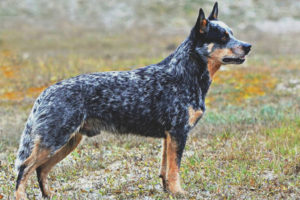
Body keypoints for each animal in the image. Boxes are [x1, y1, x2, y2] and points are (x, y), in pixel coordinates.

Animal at [15, 2, 251, 199]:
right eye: (222, 37)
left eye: (232, 33)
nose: (248, 46)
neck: (183, 74)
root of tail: (45, 92)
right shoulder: (178, 132)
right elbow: (175, 169)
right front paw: (179, 192)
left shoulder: (168, 136)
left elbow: (165, 170)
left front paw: (168, 191)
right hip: (54, 140)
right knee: (24, 168)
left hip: (68, 141)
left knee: (41, 169)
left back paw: (50, 195)